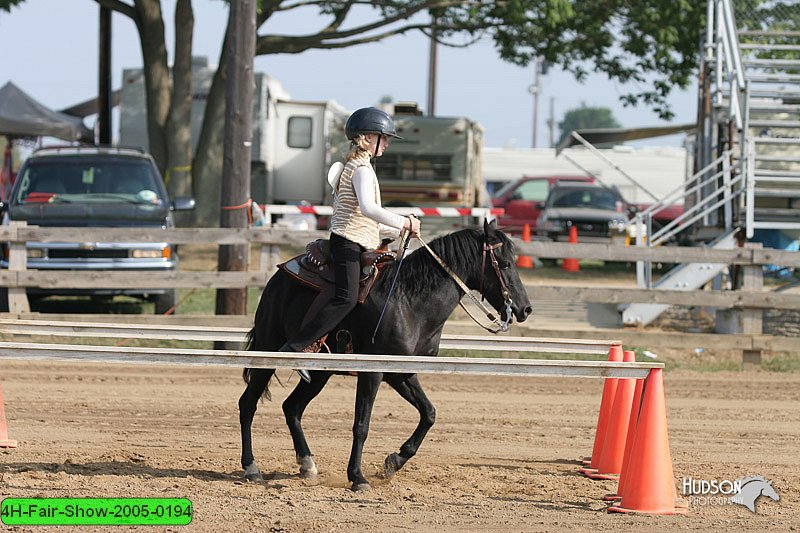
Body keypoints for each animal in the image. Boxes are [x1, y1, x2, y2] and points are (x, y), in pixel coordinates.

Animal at [241, 220, 536, 490]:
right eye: (505, 264)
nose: (525, 309)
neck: (409, 300)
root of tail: (277, 277)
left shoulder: (400, 372)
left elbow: (429, 413)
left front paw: (393, 462)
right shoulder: (372, 373)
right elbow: (361, 425)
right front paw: (358, 477)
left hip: (319, 374)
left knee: (292, 407)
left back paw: (307, 464)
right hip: (269, 350)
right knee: (248, 403)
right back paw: (252, 468)